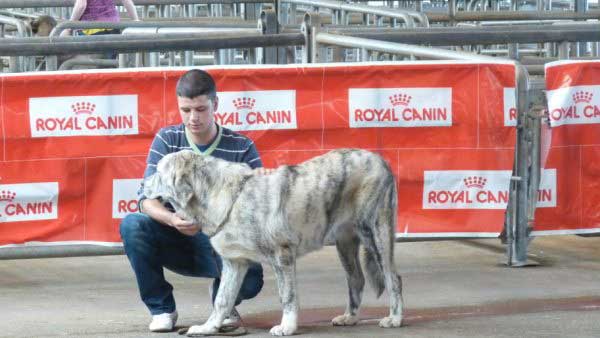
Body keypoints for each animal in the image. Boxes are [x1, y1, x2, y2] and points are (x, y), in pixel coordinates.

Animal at [142, 149, 404, 336]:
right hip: (345, 242)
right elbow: (222, 299)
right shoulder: (234, 263)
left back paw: (395, 319)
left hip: (376, 232)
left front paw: (287, 327)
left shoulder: (282, 255)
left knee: (393, 278)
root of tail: (381, 160)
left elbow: (287, 296)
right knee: (356, 279)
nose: (143, 184)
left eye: (159, 172)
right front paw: (209, 328)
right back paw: (349, 317)